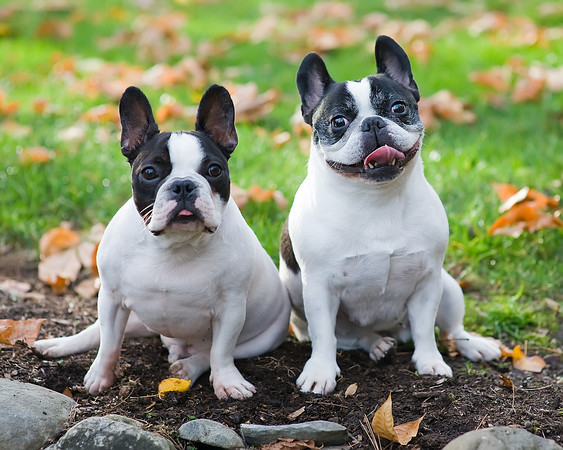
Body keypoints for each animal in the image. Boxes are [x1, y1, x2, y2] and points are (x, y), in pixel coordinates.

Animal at [33, 84, 290, 400]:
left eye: (214, 170)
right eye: (150, 172)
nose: (183, 185)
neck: (174, 246)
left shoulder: (231, 310)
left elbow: (221, 352)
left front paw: (228, 382)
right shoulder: (112, 298)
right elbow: (109, 345)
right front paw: (101, 376)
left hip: (262, 339)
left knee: (209, 353)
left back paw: (187, 369)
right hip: (132, 315)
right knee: (98, 333)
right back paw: (59, 344)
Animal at [280, 35, 500, 394]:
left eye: (399, 108)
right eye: (339, 121)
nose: (373, 122)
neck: (376, 199)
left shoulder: (427, 281)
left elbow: (425, 328)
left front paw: (430, 363)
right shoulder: (319, 290)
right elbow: (324, 336)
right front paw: (320, 372)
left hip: (449, 286)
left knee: (452, 327)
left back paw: (475, 345)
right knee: (348, 336)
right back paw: (376, 344)